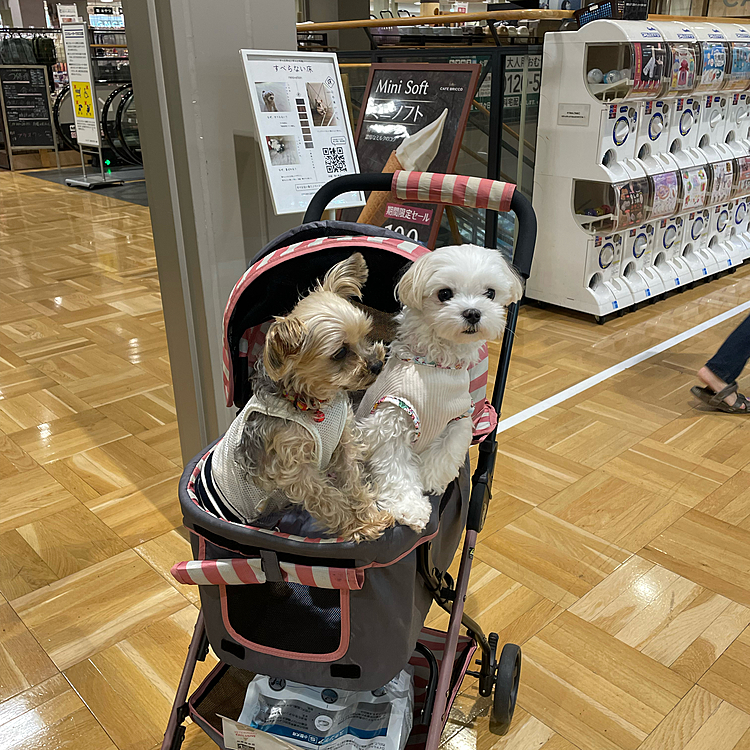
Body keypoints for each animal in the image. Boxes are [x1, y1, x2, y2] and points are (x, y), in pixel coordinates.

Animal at [356, 247, 524, 536]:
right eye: (444, 293)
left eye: (490, 293)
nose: (473, 312)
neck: (436, 364)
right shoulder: (392, 420)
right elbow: (397, 470)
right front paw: (410, 509)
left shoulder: (458, 421)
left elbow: (443, 456)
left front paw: (429, 484)